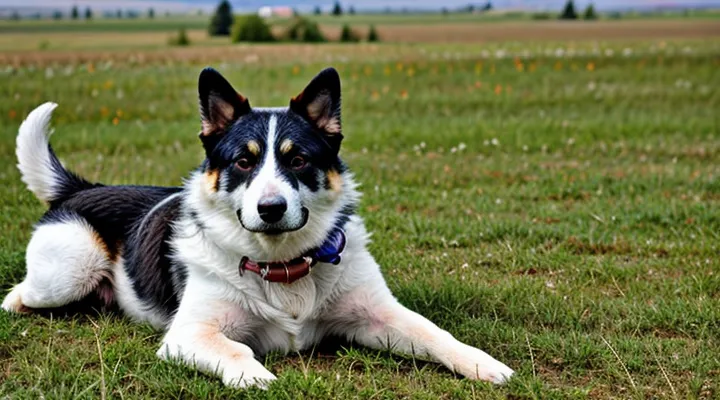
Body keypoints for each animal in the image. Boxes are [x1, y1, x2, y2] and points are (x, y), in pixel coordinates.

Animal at [2, 68, 516, 388]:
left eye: (299, 159)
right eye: (244, 161)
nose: (271, 208)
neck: (283, 265)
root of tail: (80, 188)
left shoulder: (379, 317)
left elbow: (435, 334)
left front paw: (482, 363)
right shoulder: (189, 335)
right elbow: (235, 350)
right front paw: (254, 377)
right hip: (68, 271)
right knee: (19, 293)